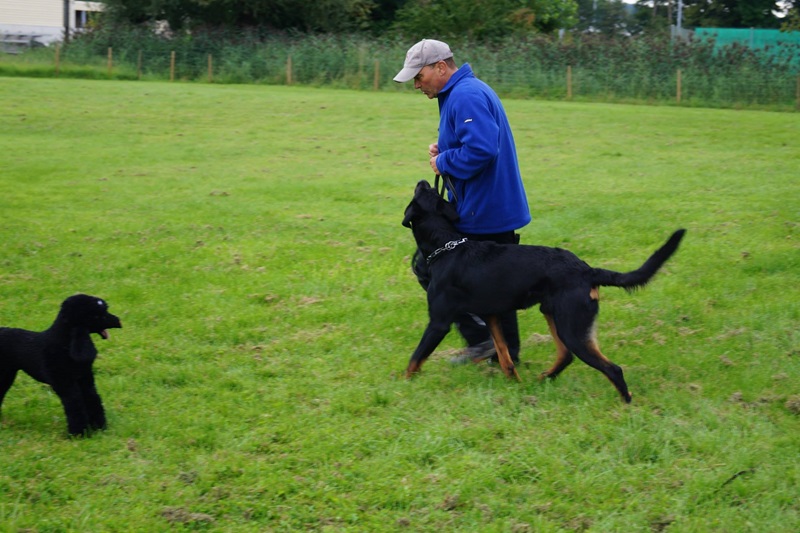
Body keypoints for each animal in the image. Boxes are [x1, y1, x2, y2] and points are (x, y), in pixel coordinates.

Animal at [404, 179, 684, 400]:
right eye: (431, 191)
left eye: (422, 192)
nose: (422, 180)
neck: (447, 246)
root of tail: (587, 270)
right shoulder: (492, 316)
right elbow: (504, 355)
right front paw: (514, 383)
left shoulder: (439, 322)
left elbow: (415, 359)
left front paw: (402, 385)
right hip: (553, 314)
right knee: (565, 356)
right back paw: (544, 379)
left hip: (572, 327)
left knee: (612, 368)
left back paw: (625, 403)